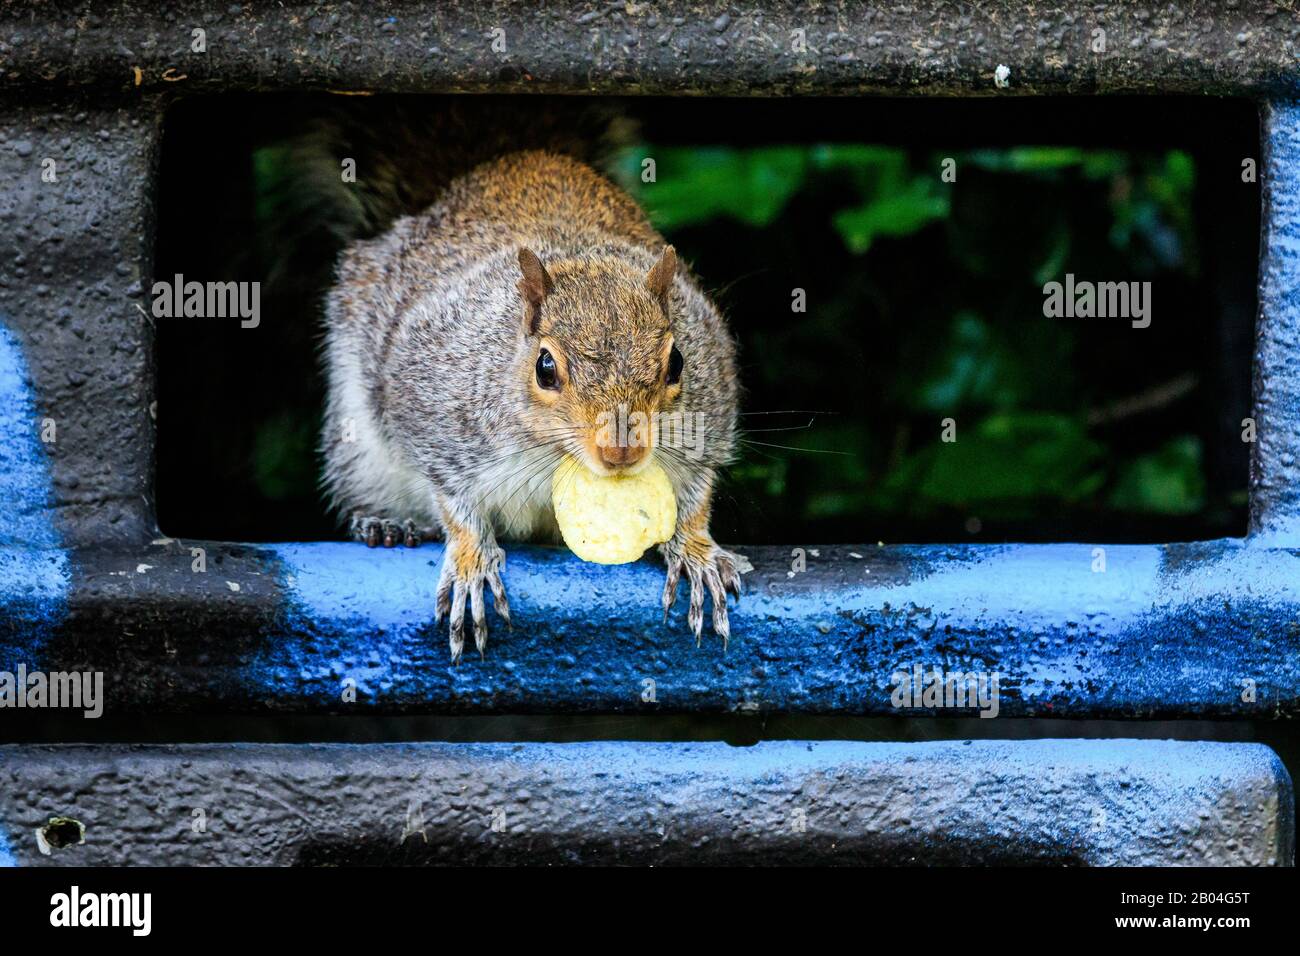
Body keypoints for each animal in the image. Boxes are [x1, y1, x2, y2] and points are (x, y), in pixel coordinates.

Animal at [306, 98, 743, 665]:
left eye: (677, 363)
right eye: (545, 368)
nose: (621, 451)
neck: (555, 457)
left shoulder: (707, 425)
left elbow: (696, 492)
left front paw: (695, 551)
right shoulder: (435, 413)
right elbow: (454, 501)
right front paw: (471, 563)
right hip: (357, 440)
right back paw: (384, 523)